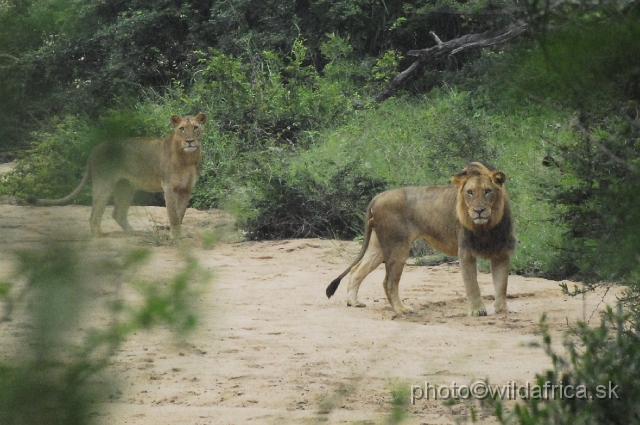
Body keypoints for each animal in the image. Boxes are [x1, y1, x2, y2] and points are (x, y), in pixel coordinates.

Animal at [30, 113, 208, 238]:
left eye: (196, 127)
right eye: (182, 129)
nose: (190, 141)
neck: (188, 158)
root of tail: (95, 148)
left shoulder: (186, 188)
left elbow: (181, 213)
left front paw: (179, 235)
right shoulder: (168, 186)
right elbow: (173, 214)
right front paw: (175, 237)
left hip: (126, 187)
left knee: (118, 214)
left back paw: (135, 232)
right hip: (104, 184)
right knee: (94, 215)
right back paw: (99, 236)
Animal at [328, 161, 516, 314]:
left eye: (488, 191)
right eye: (470, 192)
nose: (479, 210)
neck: (487, 226)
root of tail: (377, 197)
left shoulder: (502, 252)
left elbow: (502, 284)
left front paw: (502, 310)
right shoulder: (465, 251)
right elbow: (472, 284)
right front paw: (477, 310)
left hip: (378, 246)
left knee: (357, 269)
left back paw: (353, 302)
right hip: (398, 246)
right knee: (388, 281)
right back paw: (401, 309)